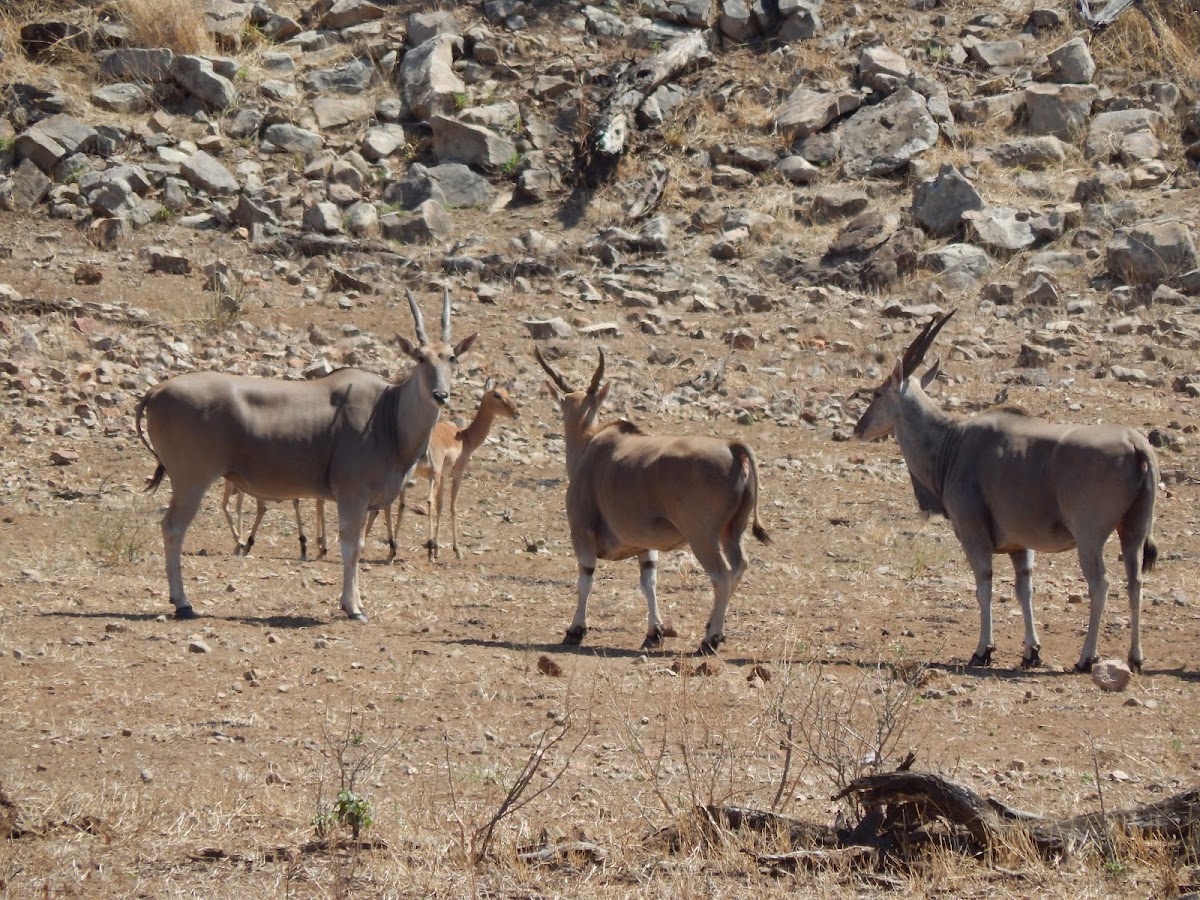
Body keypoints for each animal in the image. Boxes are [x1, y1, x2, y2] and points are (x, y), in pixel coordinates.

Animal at [369, 379, 520, 564]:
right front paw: (455, 550)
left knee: (395, 505)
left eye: (507, 393)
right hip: (432, 476)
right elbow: (452, 506)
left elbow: (441, 506)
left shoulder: (443, 477)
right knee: (428, 502)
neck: (465, 437)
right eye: (497, 394)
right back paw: (425, 550)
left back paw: (392, 552)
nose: (516, 412)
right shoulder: (455, 474)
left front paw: (437, 549)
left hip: (410, 477)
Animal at [535, 348, 768, 657]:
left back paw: (710, 640)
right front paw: (654, 633)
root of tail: (733, 446)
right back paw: (713, 630)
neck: (590, 447)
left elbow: (586, 580)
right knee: (740, 566)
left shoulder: (582, 534)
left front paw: (575, 631)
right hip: (733, 531)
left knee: (721, 575)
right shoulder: (645, 547)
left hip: (702, 537)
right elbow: (649, 582)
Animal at [859, 314, 1156, 672]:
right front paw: (1031, 651)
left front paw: (983, 650)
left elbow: (984, 585)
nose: (859, 428)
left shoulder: (973, 535)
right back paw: (1135, 657)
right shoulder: (1020, 547)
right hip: (1133, 531)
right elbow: (1023, 589)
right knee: (1135, 582)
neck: (952, 442)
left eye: (877, 393)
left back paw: (1087, 658)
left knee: (1101, 584)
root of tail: (1136, 444)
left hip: (1089, 537)